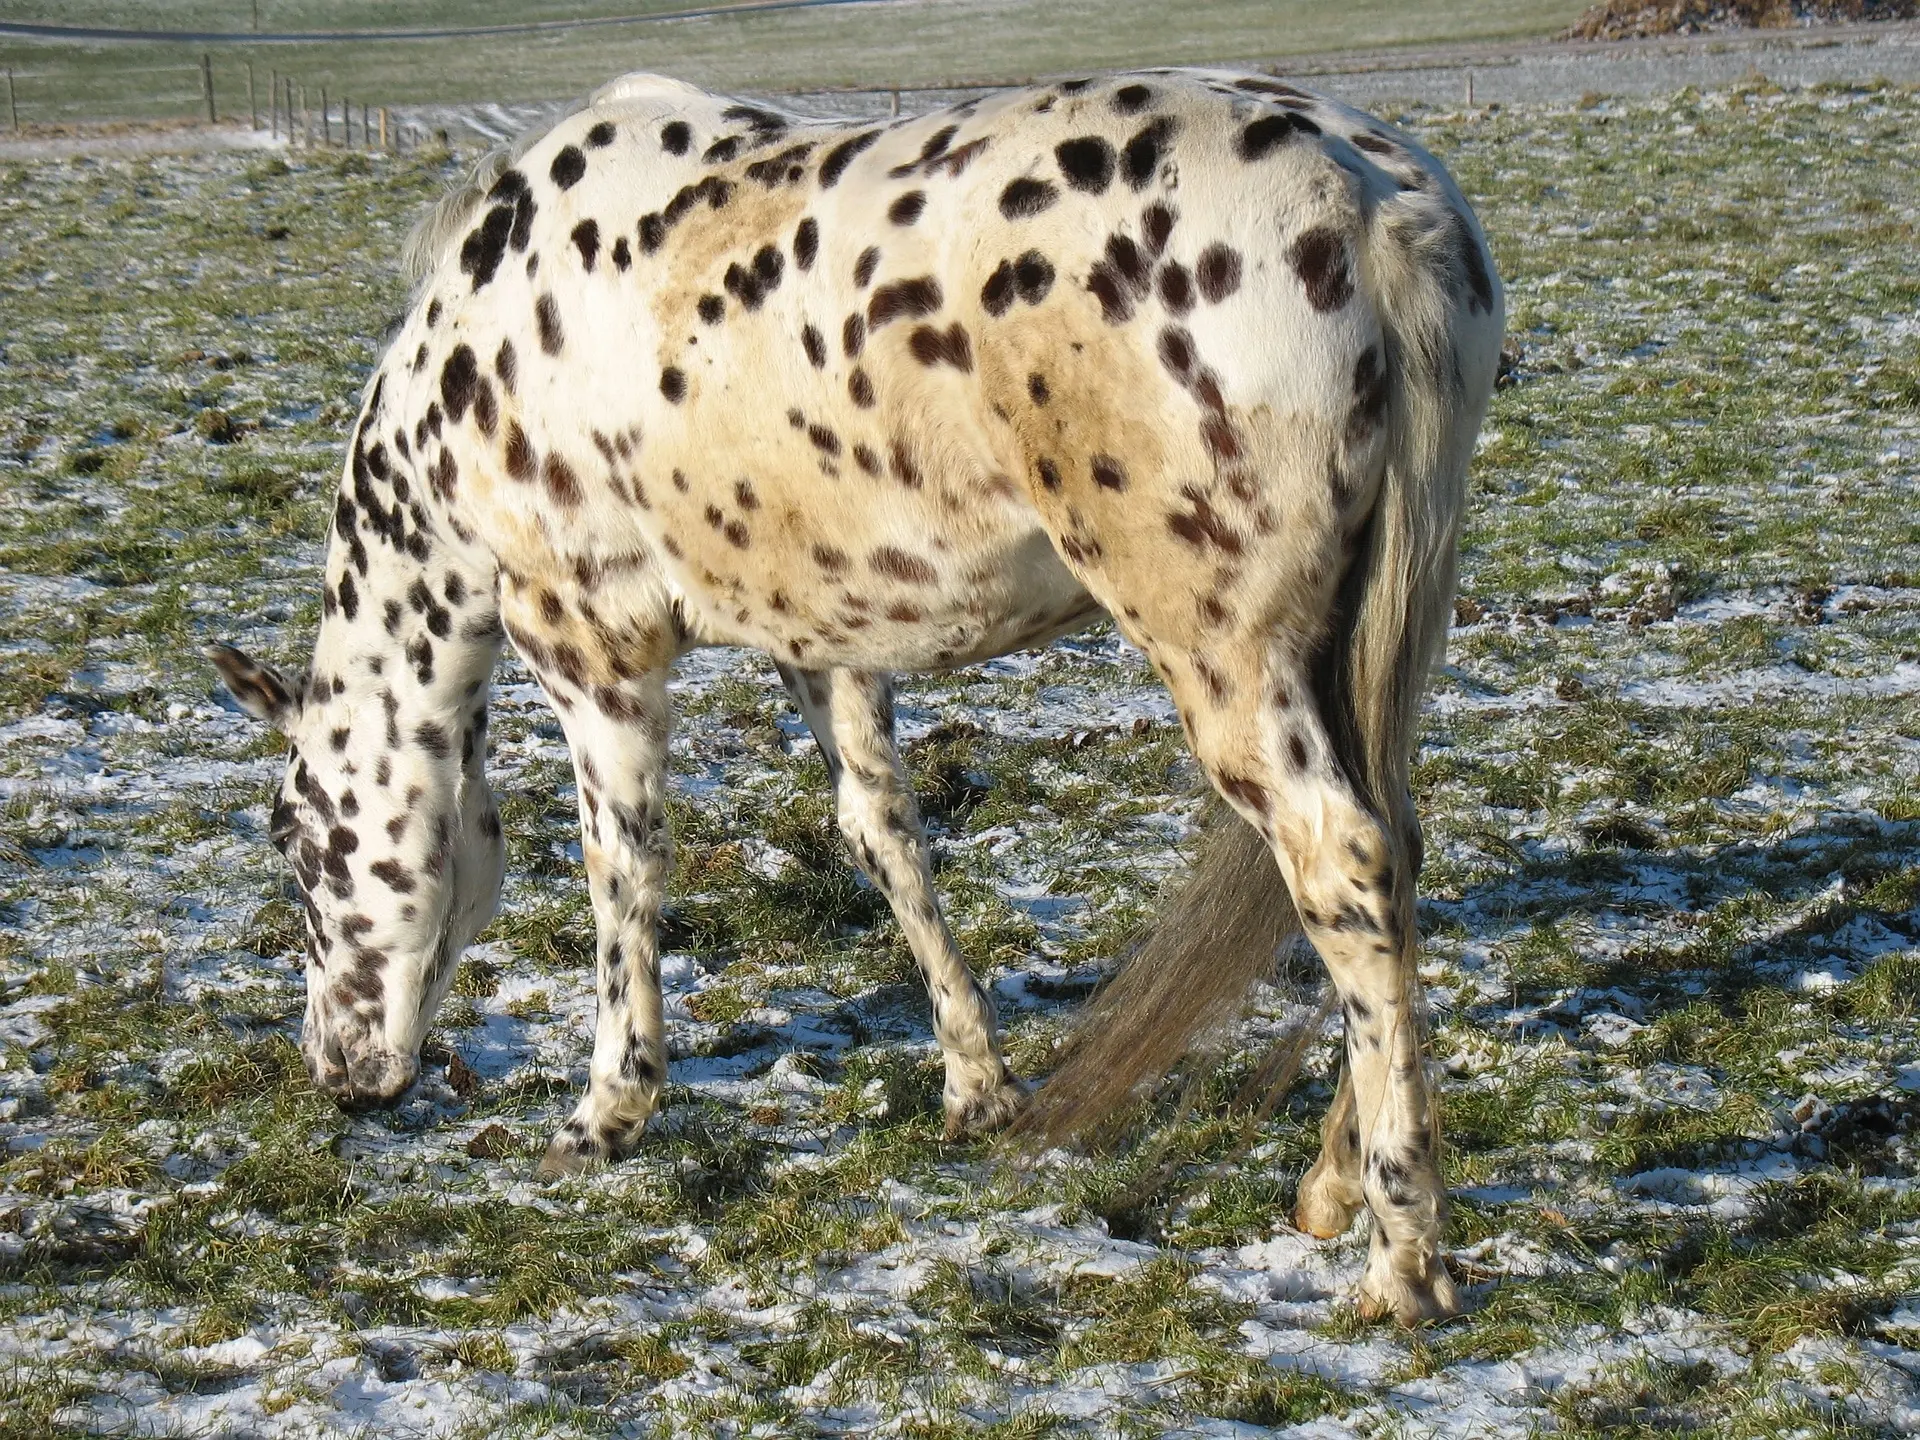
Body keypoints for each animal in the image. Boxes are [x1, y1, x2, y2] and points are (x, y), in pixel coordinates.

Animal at [210, 70, 1497, 1328]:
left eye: (298, 842)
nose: (337, 1074)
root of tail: (1373, 205)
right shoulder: (820, 645)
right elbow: (886, 840)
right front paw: (977, 1086)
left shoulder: (594, 655)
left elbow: (622, 871)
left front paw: (607, 1112)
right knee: (1393, 853)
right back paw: (1332, 1186)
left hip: (1229, 657)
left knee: (1342, 866)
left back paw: (1401, 1262)